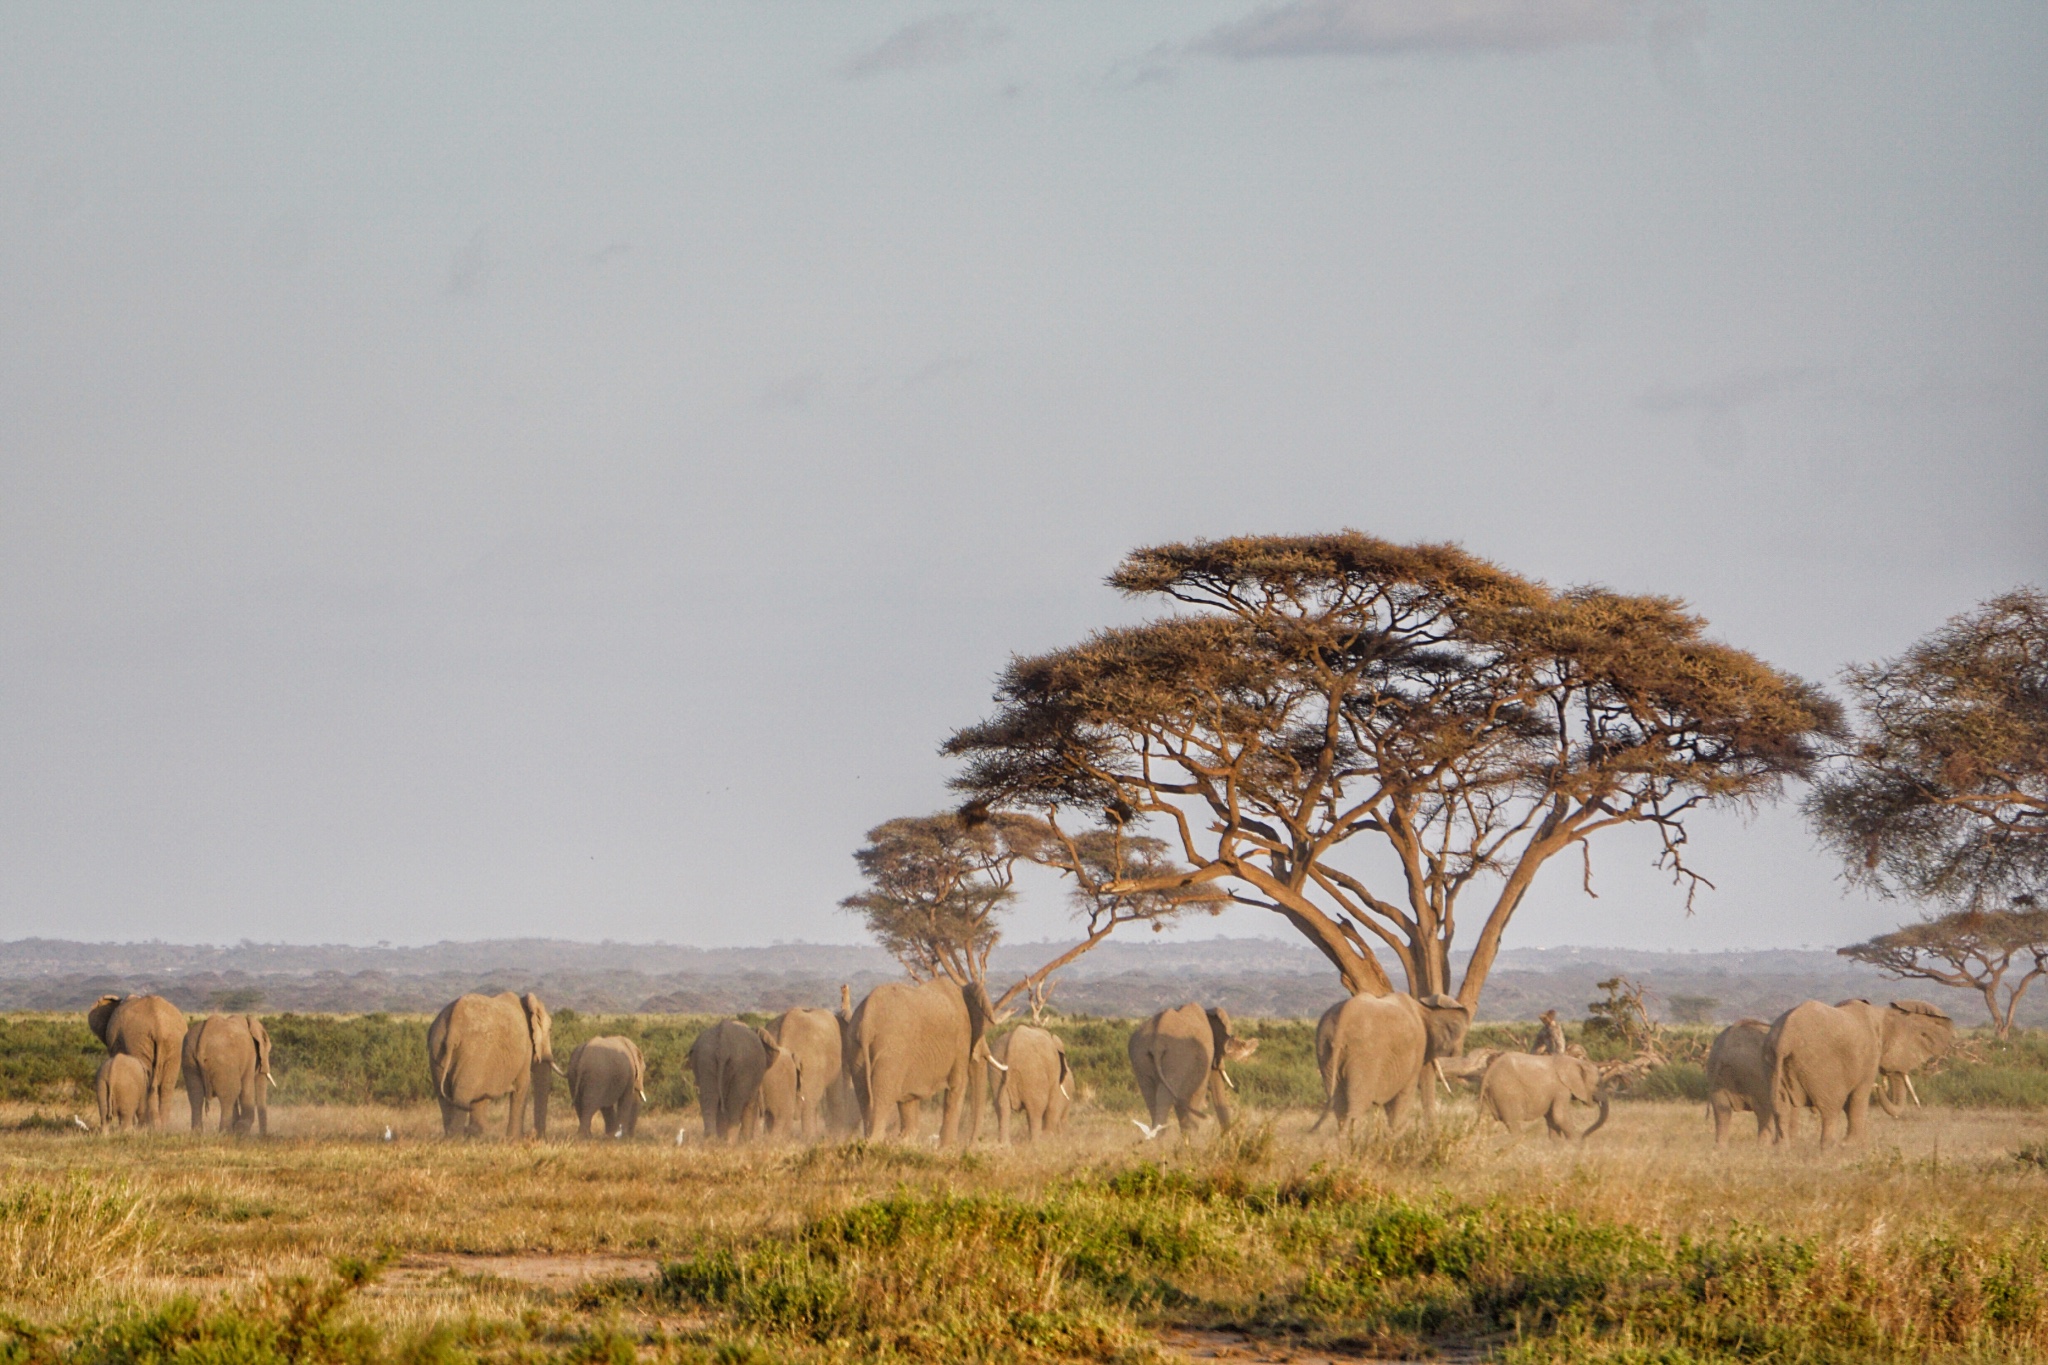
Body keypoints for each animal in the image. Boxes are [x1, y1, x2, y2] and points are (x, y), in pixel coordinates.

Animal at [88, 994, 188, 1129]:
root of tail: (159, 1026)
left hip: (137, 1039)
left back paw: (149, 1125)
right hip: (174, 1041)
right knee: (167, 1084)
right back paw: (161, 1126)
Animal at [425, 994, 561, 1146]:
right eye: (550, 1030)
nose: (535, 1137)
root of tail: (453, 1027)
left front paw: (478, 1136)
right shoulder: (525, 1049)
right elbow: (522, 1086)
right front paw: (514, 1142)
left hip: (437, 1050)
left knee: (444, 1096)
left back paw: (453, 1138)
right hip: (474, 1051)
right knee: (462, 1096)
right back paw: (455, 1142)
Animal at [847, 978, 991, 1146]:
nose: (969, 1145)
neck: (962, 988)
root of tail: (867, 1022)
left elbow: (908, 1100)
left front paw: (903, 1144)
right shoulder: (961, 1039)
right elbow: (957, 1085)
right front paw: (945, 1149)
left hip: (856, 1050)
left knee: (864, 1096)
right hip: (892, 1051)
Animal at [1130, 1002, 1253, 1146]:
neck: (1208, 1011)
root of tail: (1157, 1043)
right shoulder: (1207, 1053)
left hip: (1140, 1057)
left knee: (1152, 1097)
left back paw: (1156, 1142)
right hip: (1176, 1058)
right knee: (1167, 1096)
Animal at [1310, 986, 1474, 1137]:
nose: (1452, 1095)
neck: (1422, 1007)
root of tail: (1344, 1017)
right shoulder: (1418, 1046)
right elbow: (1404, 1094)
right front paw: (1395, 1140)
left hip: (1324, 1048)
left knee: (1339, 1103)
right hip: (1365, 1054)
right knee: (1359, 1103)